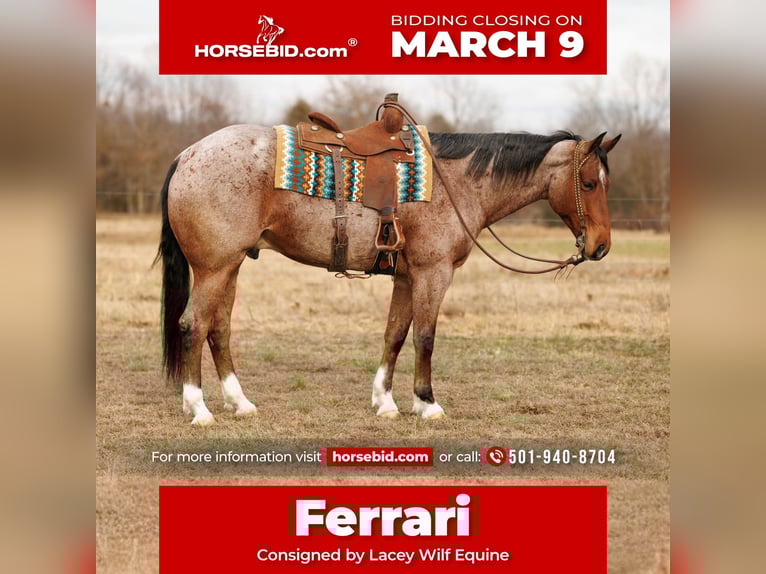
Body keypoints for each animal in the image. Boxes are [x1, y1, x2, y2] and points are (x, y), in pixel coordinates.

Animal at [155, 120, 621, 425]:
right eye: (589, 184)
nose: (600, 246)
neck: (458, 182)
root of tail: (186, 155)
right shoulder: (433, 274)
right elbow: (425, 337)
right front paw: (426, 403)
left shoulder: (406, 277)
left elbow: (395, 334)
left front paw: (385, 402)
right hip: (214, 269)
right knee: (193, 325)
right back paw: (199, 408)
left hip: (230, 267)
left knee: (219, 328)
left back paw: (240, 402)